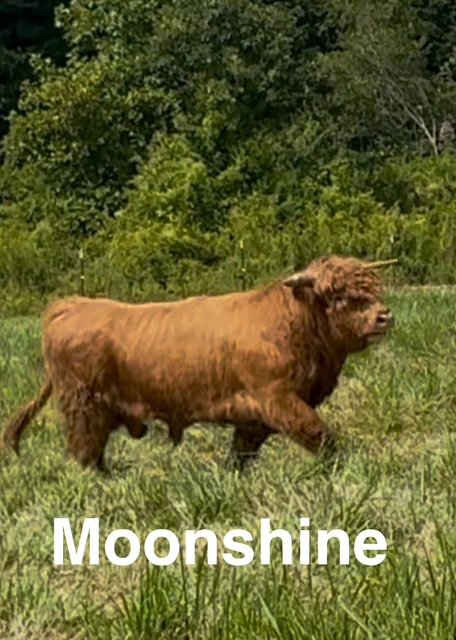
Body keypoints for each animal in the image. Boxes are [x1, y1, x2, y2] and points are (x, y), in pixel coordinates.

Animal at [3, 255, 395, 471]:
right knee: (83, 455)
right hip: (84, 406)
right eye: (338, 296)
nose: (383, 317)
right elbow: (322, 437)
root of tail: (72, 304)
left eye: (374, 290)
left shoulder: (253, 418)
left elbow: (241, 455)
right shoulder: (278, 399)